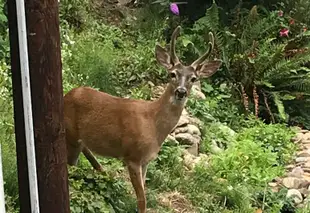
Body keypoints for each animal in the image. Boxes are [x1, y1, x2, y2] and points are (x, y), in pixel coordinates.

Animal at [64, 25, 222, 212]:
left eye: (193, 78)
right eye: (172, 74)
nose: (181, 92)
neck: (153, 125)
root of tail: (67, 95)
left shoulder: (146, 160)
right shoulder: (133, 156)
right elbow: (142, 199)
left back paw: (103, 173)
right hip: (70, 134)